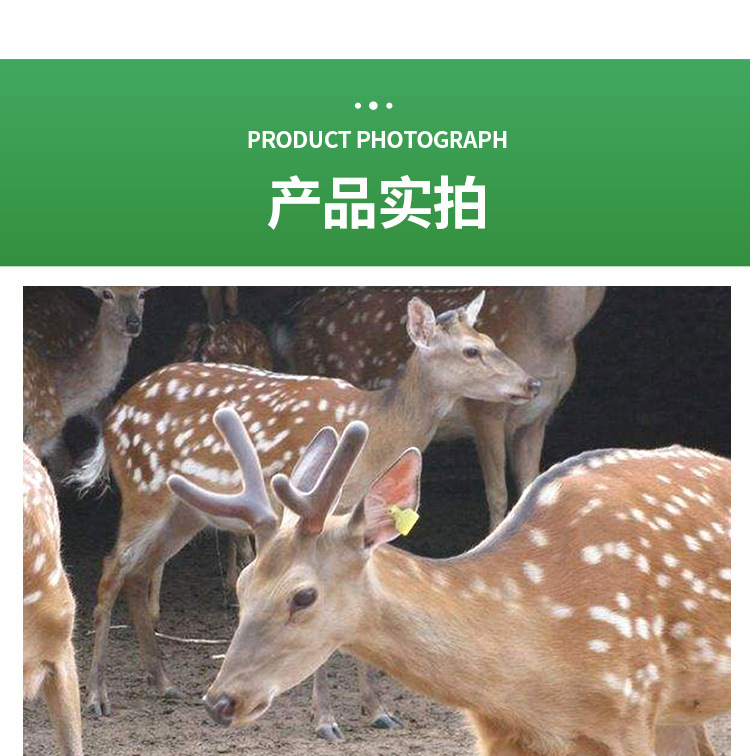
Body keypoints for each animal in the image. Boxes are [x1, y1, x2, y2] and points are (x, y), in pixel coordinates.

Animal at [72, 291, 541, 739]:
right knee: (112, 569)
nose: (532, 383)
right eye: (470, 351)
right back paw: (97, 697)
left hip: (185, 511)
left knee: (138, 573)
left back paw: (164, 683)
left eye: (491, 340)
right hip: (143, 489)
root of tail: (113, 419)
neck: (378, 433)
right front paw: (325, 721)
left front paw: (378, 711)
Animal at [275, 286, 606, 530]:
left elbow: (531, 484)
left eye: (492, 341)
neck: (552, 336)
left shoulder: (537, 418)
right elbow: (497, 492)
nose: (532, 384)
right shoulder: (485, 411)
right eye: (472, 351)